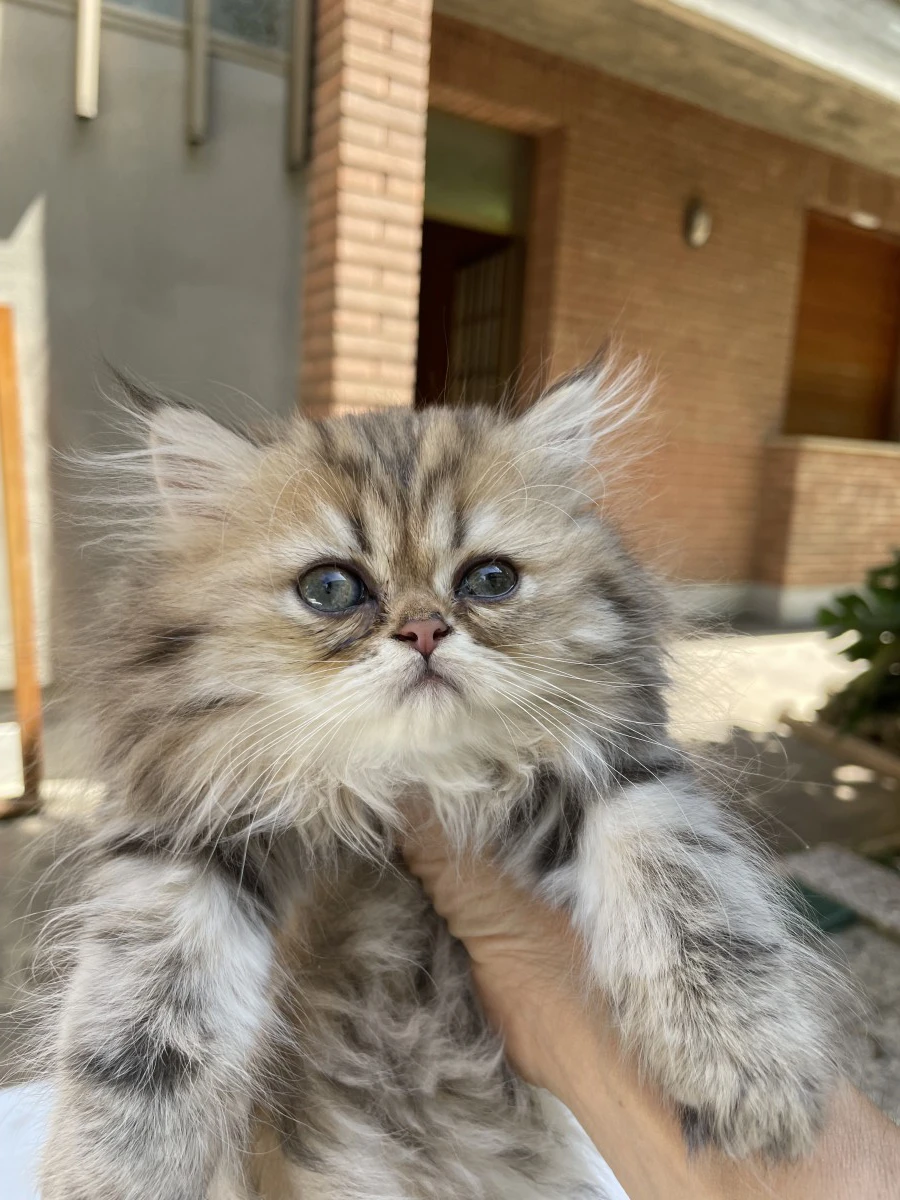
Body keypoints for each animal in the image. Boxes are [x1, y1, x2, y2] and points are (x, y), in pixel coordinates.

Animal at [42, 362, 844, 1200]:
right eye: (332, 589)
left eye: (489, 580)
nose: (424, 630)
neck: (409, 776)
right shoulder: (185, 834)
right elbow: (138, 1027)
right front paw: (113, 1172)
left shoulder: (620, 775)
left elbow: (696, 900)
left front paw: (750, 1066)